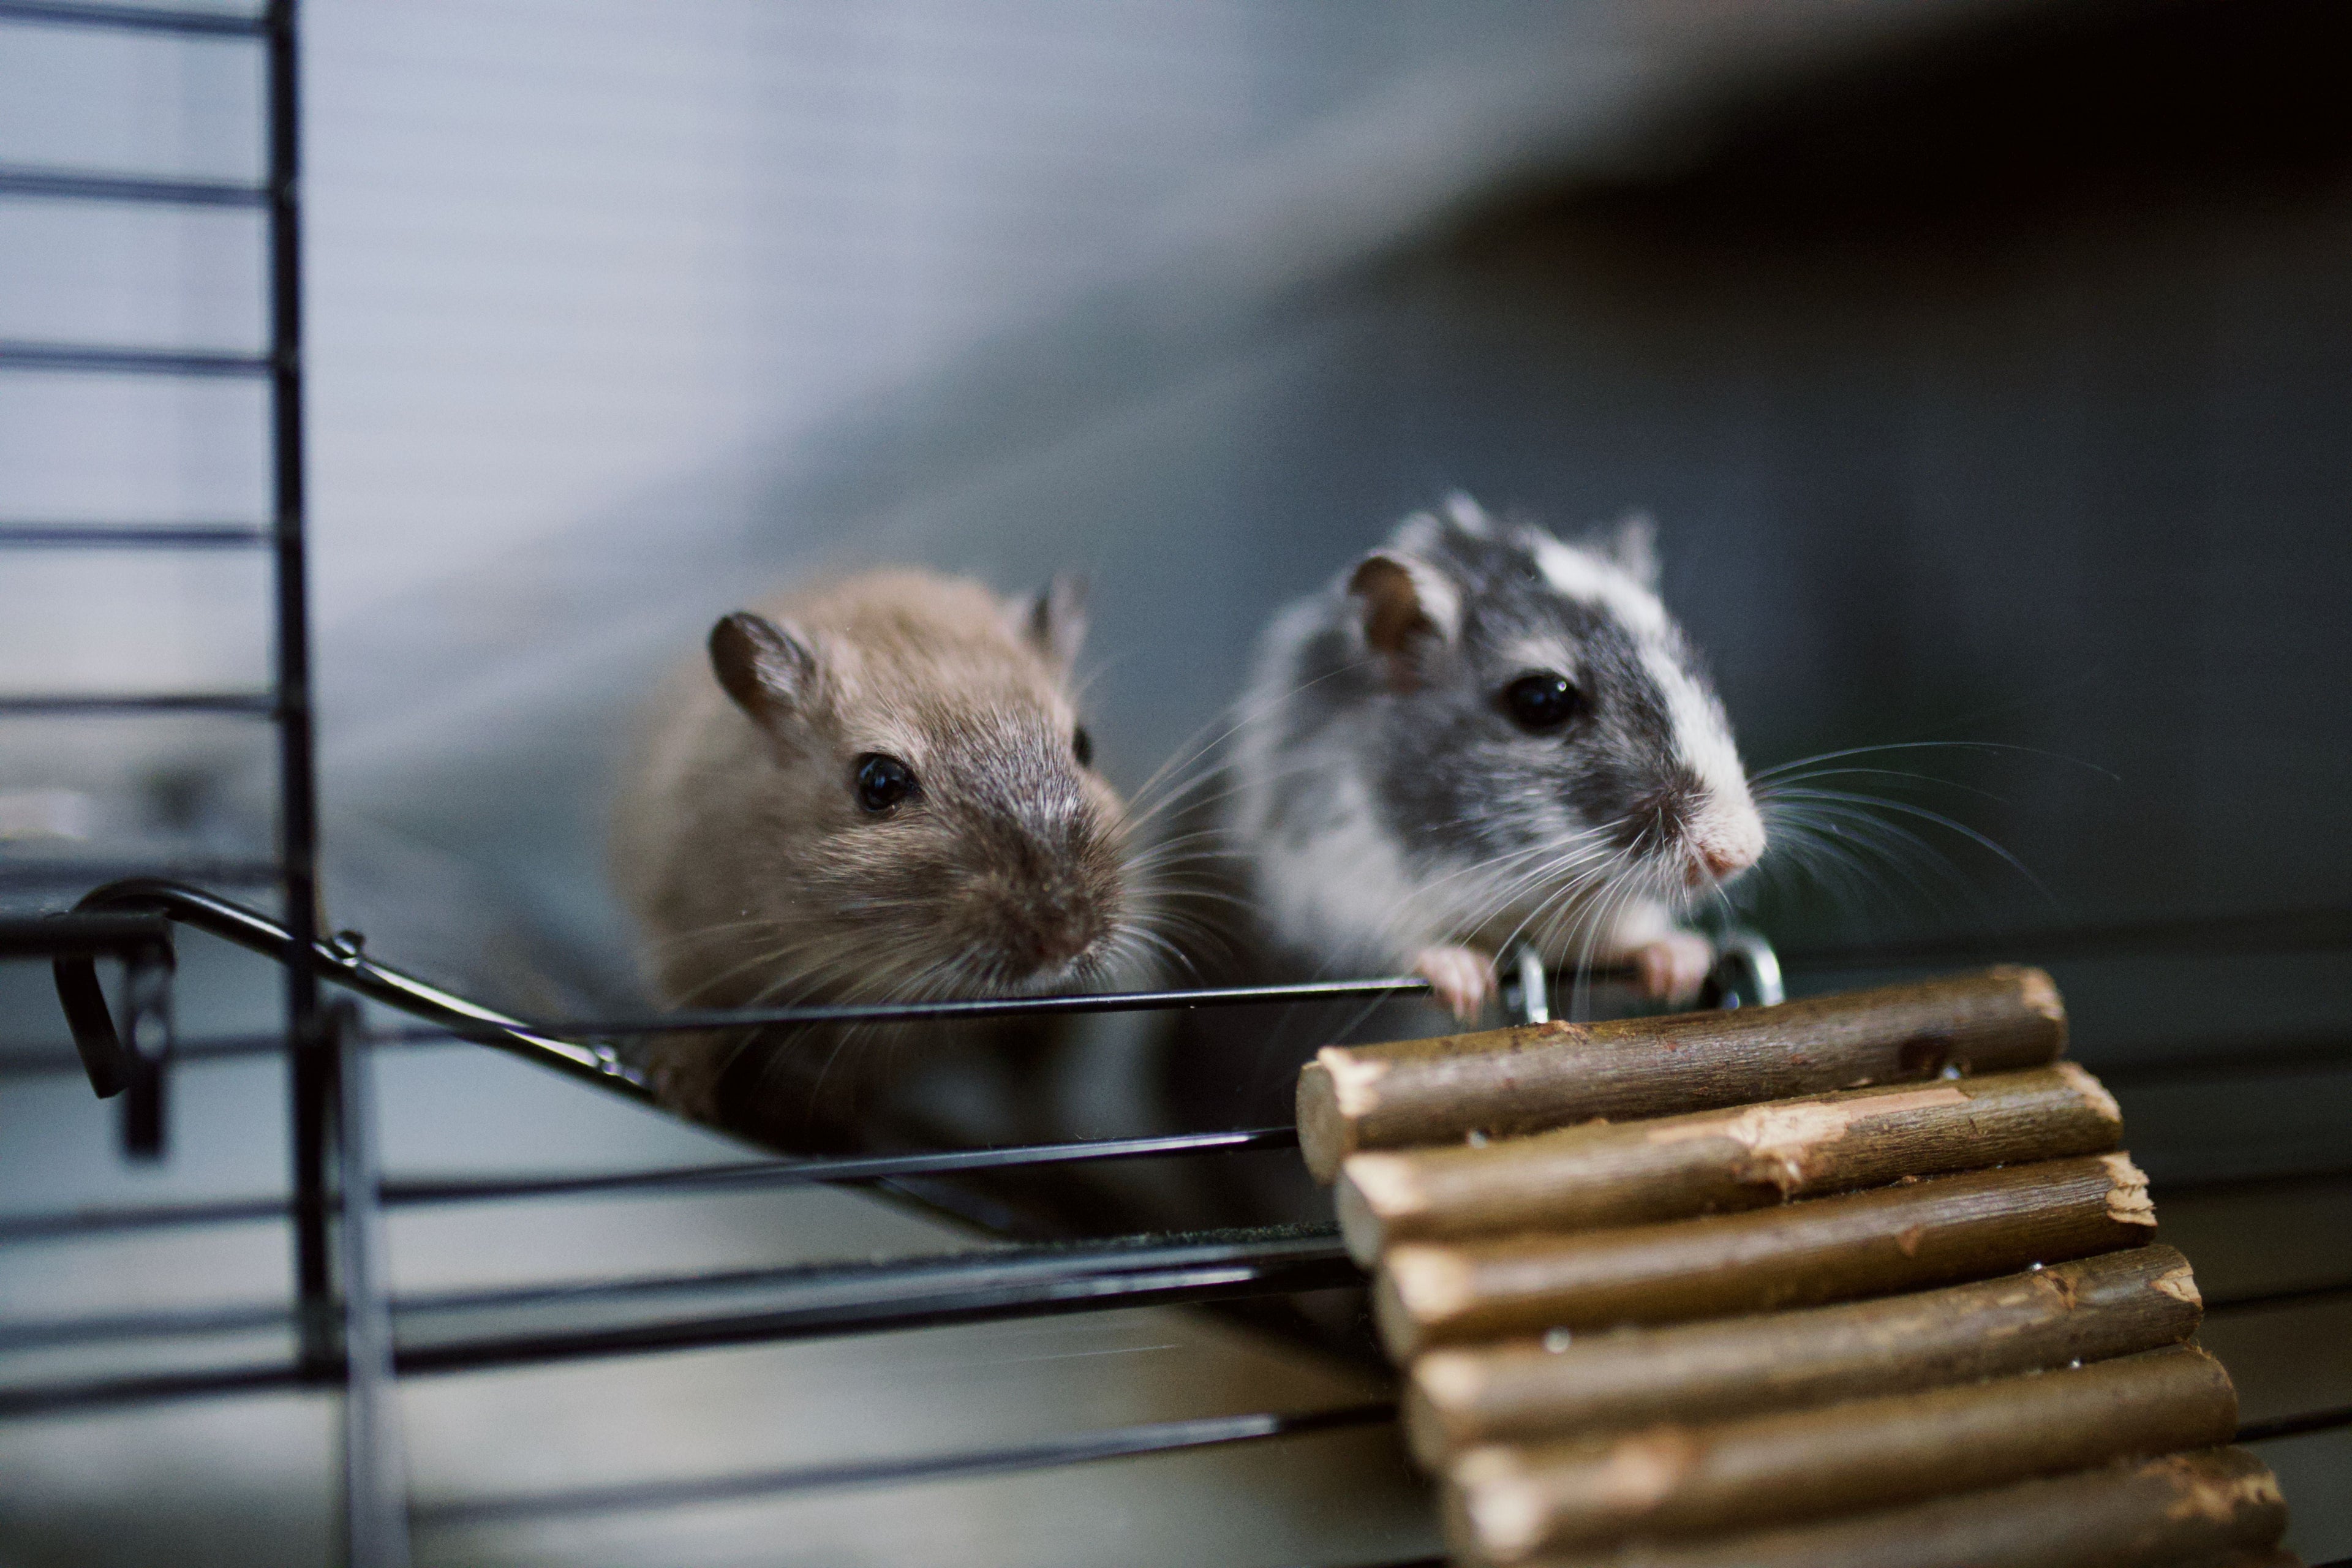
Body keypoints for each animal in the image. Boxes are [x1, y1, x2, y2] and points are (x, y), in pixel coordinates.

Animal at [611, 568, 1136, 1125]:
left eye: (1084, 745)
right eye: (880, 782)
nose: (1068, 942)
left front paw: (814, 1103)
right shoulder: (674, 921)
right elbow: (684, 1007)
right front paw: (679, 1094)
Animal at [1226, 496, 1764, 1020]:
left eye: (1693, 670)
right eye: (1541, 701)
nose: (1740, 852)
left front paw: (1682, 963)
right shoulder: (1341, 882)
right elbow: (1405, 942)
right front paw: (1464, 984)